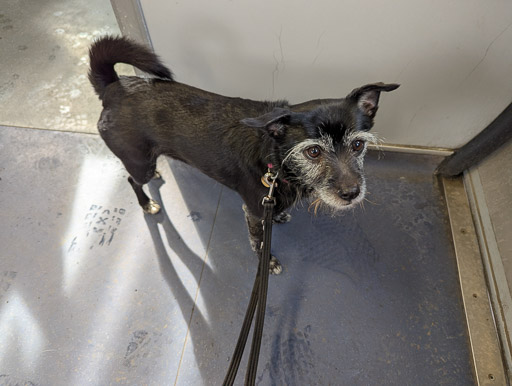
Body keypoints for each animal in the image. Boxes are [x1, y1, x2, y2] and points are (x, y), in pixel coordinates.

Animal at [89, 35, 400, 272]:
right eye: (313, 151)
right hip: (137, 161)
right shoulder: (252, 211)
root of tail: (114, 87)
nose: (352, 193)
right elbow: (259, 241)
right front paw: (268, 261)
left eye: (358, 145)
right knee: (132, 180)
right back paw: (146, 204)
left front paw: (279, 217)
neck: (276, 162)